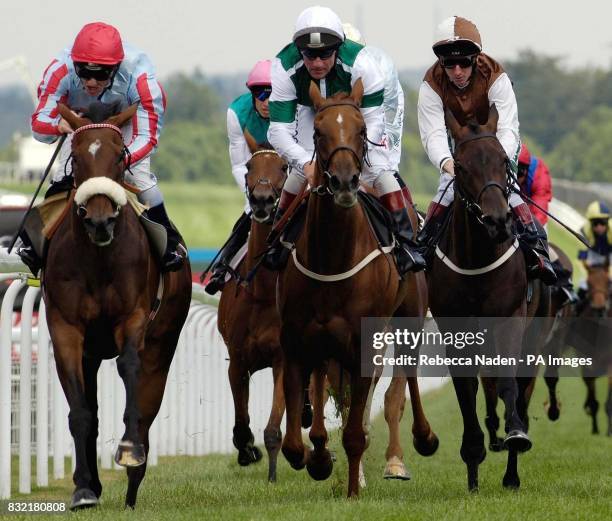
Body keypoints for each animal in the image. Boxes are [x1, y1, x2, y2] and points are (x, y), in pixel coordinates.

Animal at [44, 101, 191, 508]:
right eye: (76, 157)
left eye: (120, 156)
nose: (99, 220)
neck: (98, 260)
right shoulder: (66, 330)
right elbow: (80, 412)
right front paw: (82, 489)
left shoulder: (133, 318)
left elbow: (129, 369)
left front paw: (129, 451)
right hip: (92, 352)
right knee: (92, 411)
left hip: (163, 343)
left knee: (147, 406)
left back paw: (132, 486)